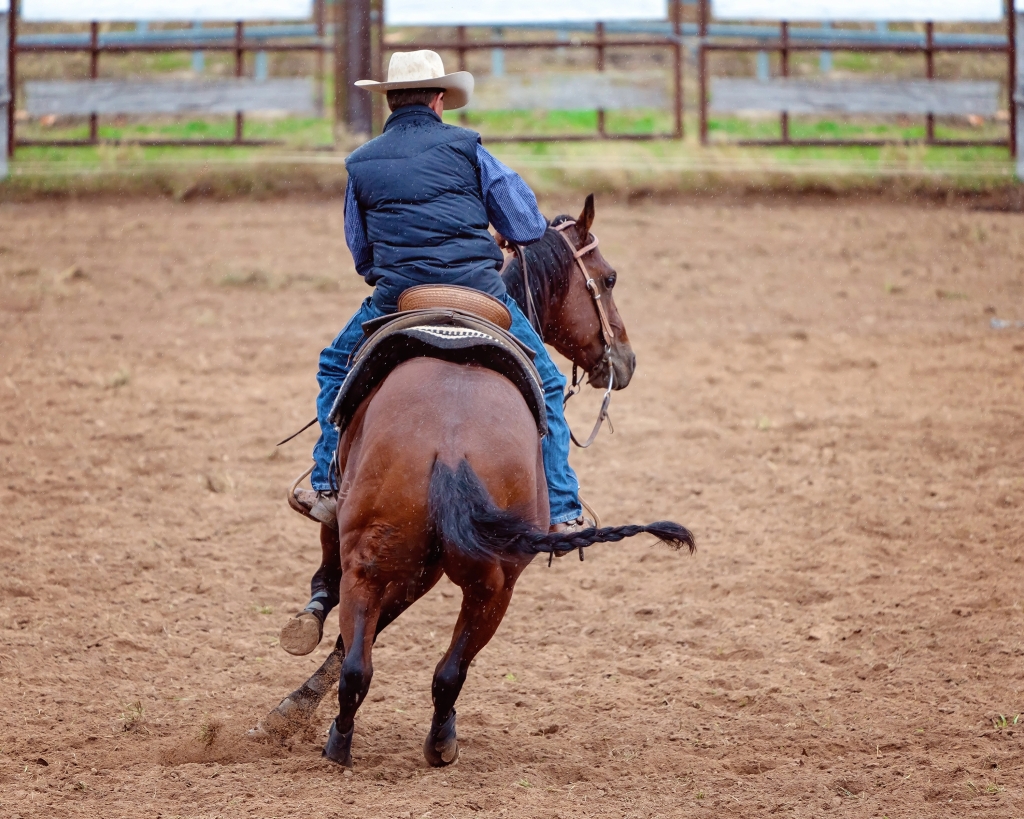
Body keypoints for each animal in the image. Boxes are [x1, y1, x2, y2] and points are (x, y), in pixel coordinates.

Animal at [250, 193, 692, 769]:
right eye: (609, 278)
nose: (625, 359)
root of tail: (453, 448)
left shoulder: (400, 564)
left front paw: (289, 705)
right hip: (489, 581)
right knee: (440, 670)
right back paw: (433, 742)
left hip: (392, 563)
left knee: (369, 666)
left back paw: (345, 743)